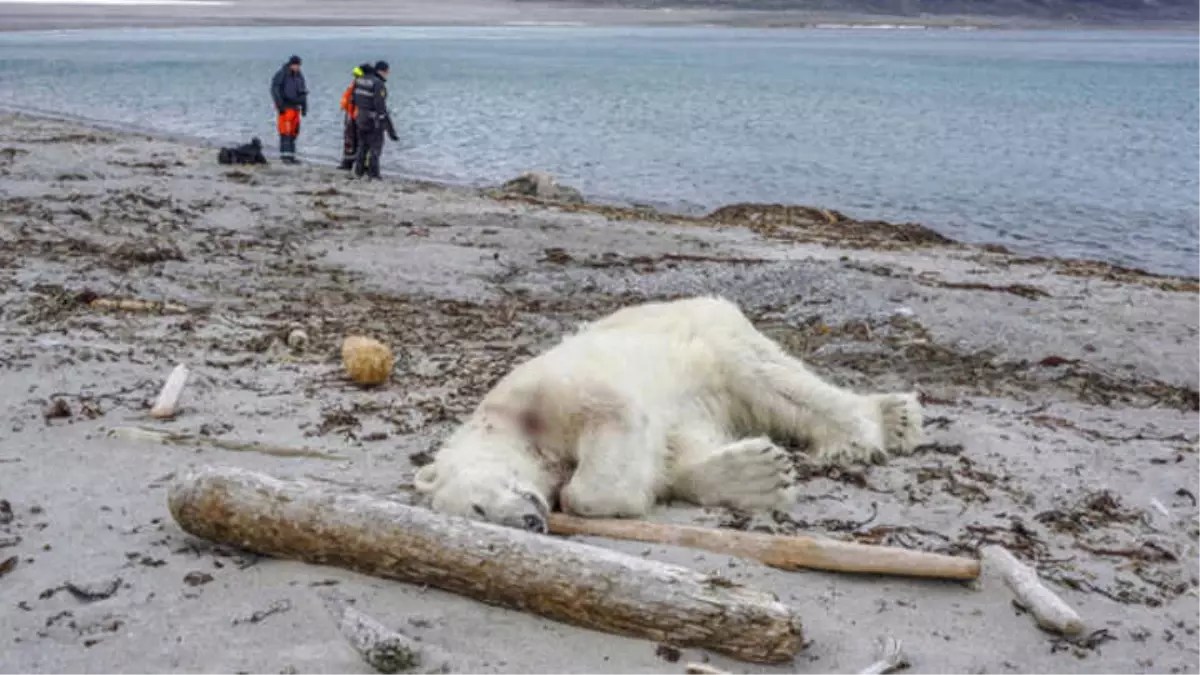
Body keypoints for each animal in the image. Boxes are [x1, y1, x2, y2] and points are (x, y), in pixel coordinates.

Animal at [417, 294, 921, 530]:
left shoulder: (546, 391)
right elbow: (675, 453)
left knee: (774, 381)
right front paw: (760, 473)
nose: (531, 522)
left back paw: (873, 428)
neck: (507, 422)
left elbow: (612, 422)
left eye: (478, 505)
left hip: (712, 336)